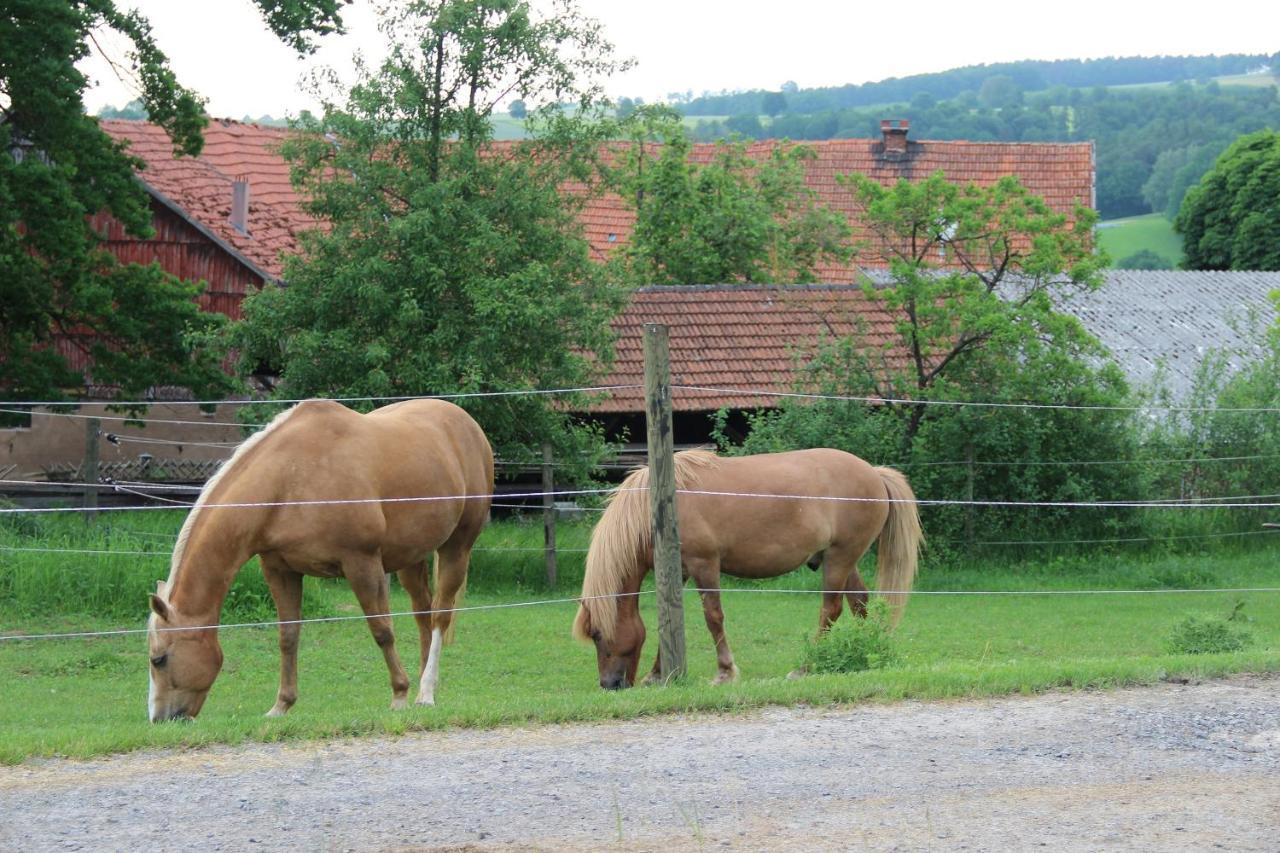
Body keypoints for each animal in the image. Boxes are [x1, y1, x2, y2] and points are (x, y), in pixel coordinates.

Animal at [146, 397, 488, 717]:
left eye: (159, 659)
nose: (159, 719)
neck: (288, 481)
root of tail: (466, 423)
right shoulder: (280, 570)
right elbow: (288, 636)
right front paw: (281, 705)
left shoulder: (362, 564)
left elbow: (382, 630)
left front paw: (399, 694)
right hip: (411, 558)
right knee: (423, 613)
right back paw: (424, 686)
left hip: (457, 547)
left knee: (440, 614)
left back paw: (425, 692)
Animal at [570, 448, 921, 686]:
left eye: (598, 635)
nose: (610, 685)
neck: (657, 509)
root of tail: (874, 472)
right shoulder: (679, 571)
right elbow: (669, 619)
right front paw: (658, 674)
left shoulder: (704, 564)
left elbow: (713, 617)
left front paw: (725, 672)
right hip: (841, 560)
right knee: (860, 603)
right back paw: (864, 653)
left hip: (839, 558)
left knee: (831, 610)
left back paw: (806, 667)